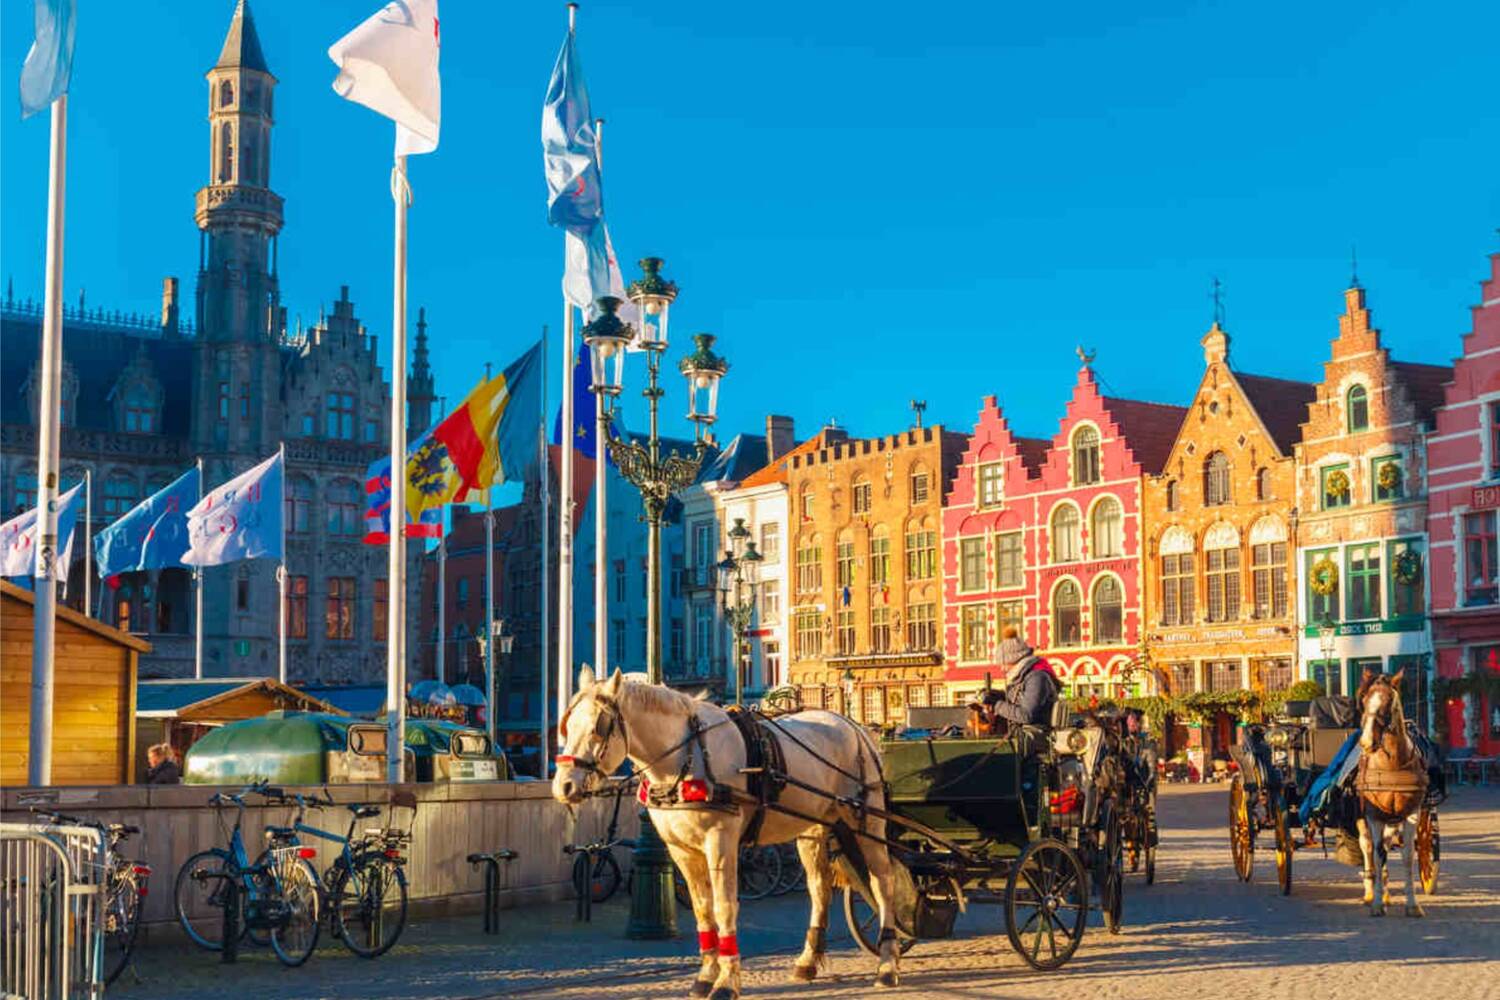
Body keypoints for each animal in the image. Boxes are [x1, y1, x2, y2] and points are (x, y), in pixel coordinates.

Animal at [552, 668, 900, 995]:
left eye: (599, 726)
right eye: (566, 726)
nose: (563, 786)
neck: (687, 755)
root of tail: (854, 726)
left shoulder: (720, 842)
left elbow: (725, 907)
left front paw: (727, 982)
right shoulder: (681, 850)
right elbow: (702, 910)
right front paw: (706, 976)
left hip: (867, 823)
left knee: (882, 882)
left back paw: (887, 964)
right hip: (812, 829)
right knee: (819, 888)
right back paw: (807, 961)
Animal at [1356, 668, 1422, 917]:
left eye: (1388, 702)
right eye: (1364, 700)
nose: (1366, 742)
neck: (1392, 767)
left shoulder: (1412, 814)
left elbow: (1407, 857)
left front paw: (1412, 904)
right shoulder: (1373, 816)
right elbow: (1377, 854)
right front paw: (1376, 904)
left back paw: (1383, 891)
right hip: (1363, 818)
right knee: (1368, 847)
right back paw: (1371, 892)